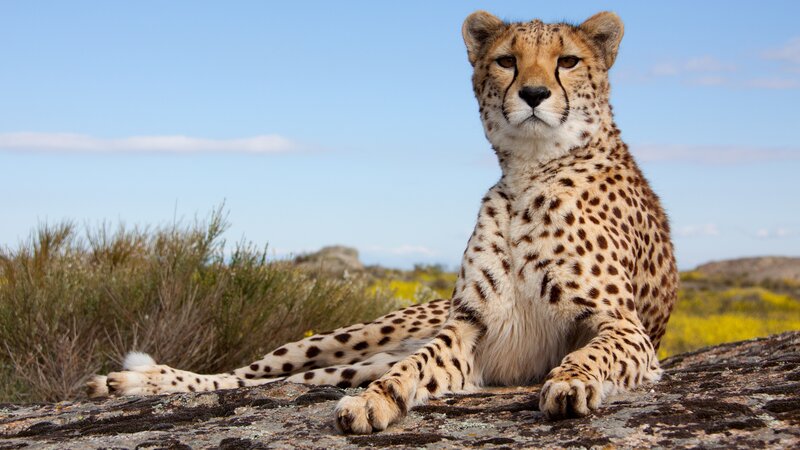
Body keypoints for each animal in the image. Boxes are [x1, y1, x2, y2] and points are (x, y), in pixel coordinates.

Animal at [87, 10, 678, 435]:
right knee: (247, 374)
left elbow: (591, 352)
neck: (530, 172)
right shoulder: (469, 327)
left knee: (282, 380)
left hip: (352, 358)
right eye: (507, 61)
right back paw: (138, 381)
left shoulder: (624, 327)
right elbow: (415, 368)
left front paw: (570, 383)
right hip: (352, 338)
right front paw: (376, 402)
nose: (534, 94)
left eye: (569, 61)